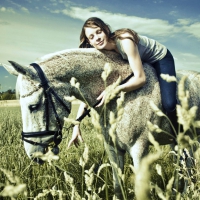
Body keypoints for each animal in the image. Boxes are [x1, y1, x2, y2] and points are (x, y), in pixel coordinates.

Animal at [1, 48, 200, 198]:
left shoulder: (139, 150)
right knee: (184, 165)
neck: (120, 92)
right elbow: (118, 187)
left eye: (33, 106)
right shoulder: (113, 148)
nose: (32, 154)